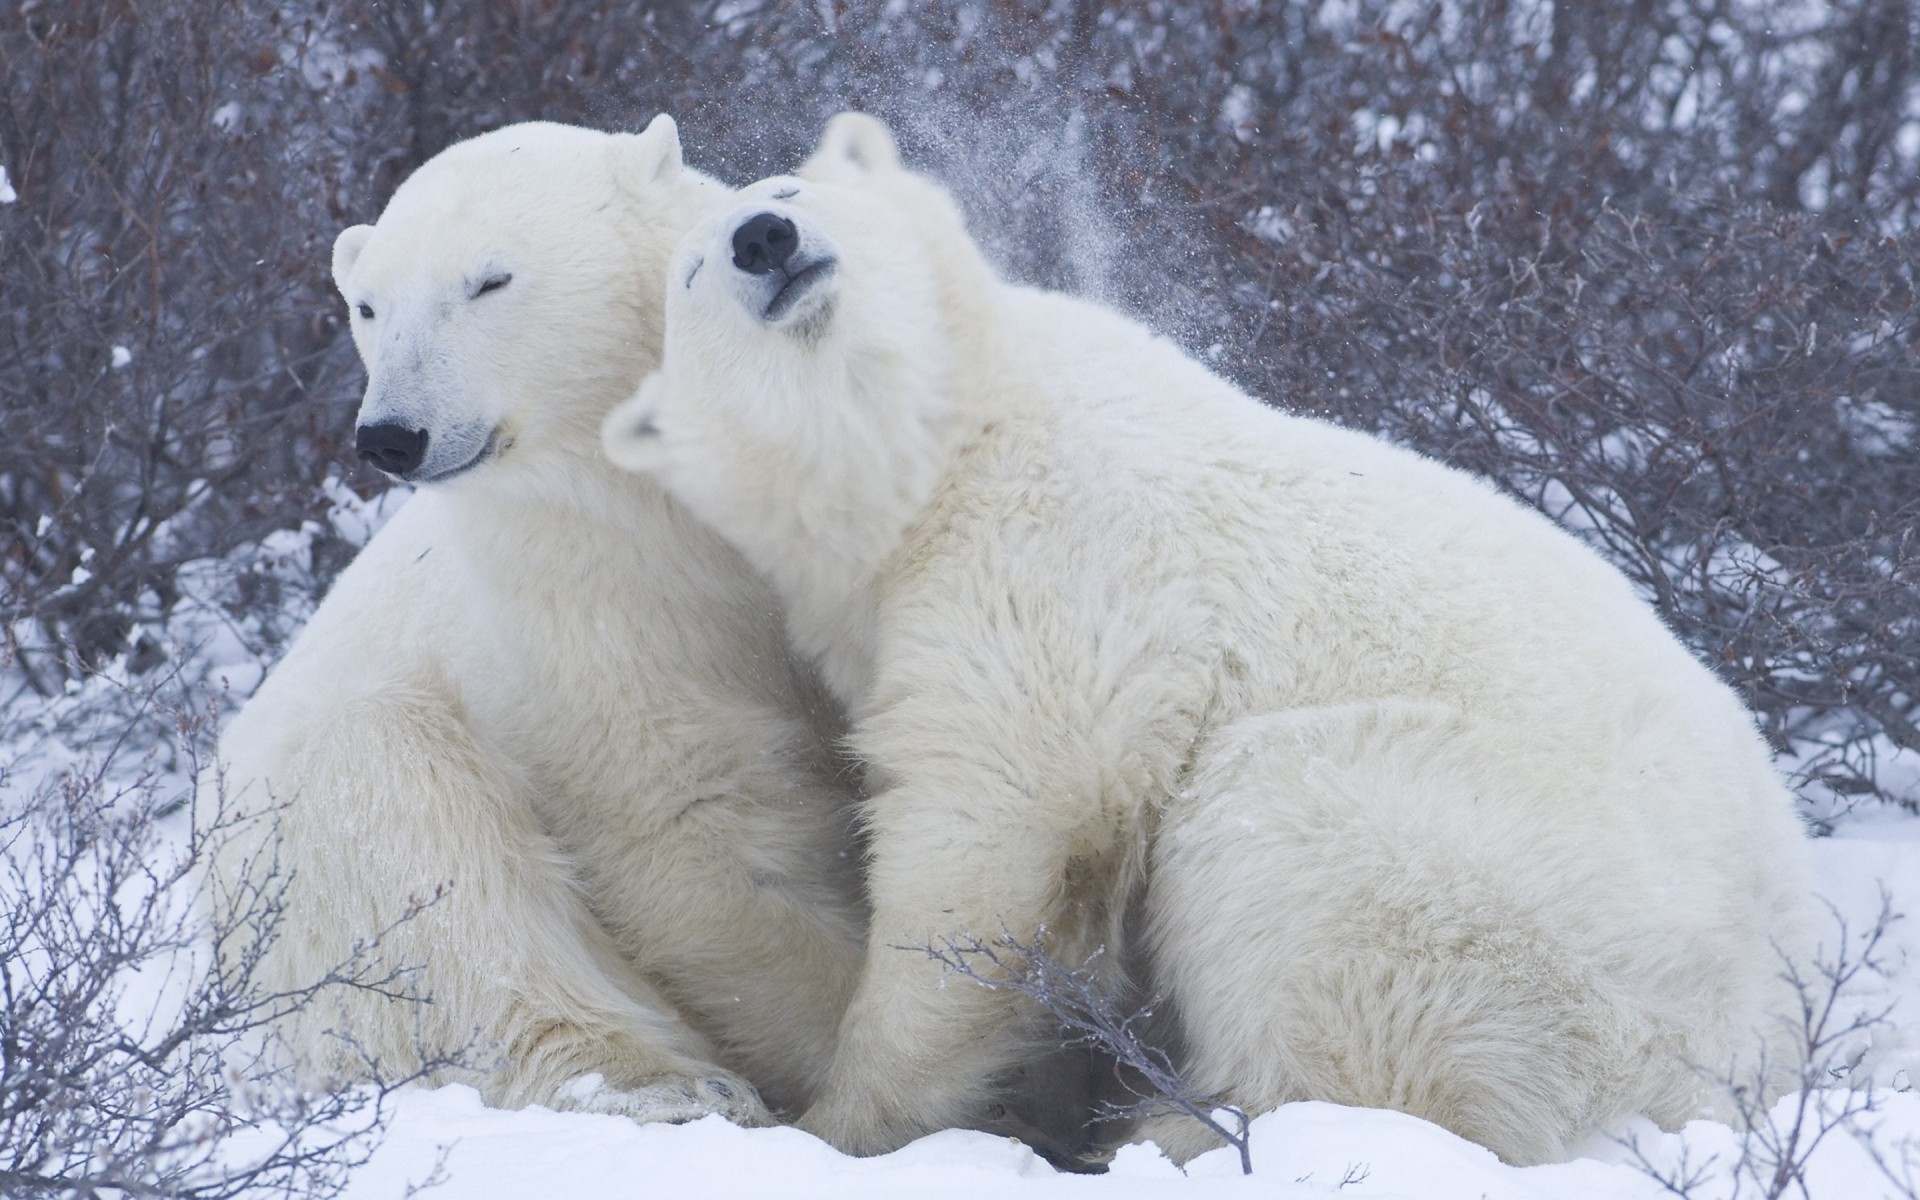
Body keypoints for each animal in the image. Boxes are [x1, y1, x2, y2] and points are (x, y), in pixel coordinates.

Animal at [208, 117, 864, 1128]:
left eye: (489, 281)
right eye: (369, 307)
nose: (391, 434)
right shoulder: (585, 600)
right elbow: (695, 827)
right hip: (299, 892)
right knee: (417, 835)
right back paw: (664, 1086)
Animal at [606, 114, 1820, 1159]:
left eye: (790, 191)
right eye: (694, 272)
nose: (765, 242)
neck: (945, 447)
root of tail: (1758, 1044)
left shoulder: (1056, 554)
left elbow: (1000, 823)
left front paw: (846, 1122)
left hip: (1513, 885)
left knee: (1292, 854)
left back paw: (1182, 1125)